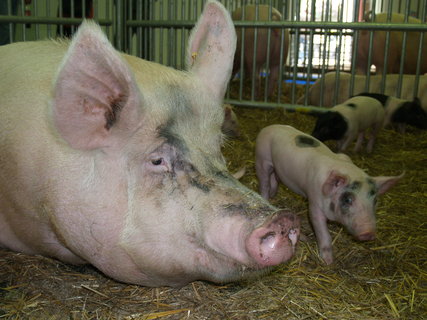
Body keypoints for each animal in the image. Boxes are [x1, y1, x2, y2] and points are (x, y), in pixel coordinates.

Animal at [256, 125, 402, 264]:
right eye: (348, 199)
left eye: (375, 200)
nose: (369, 233)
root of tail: (269, 127)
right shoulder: (314, 204)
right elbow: (323, 233)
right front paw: (328, 262)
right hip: (262, 159)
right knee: (264, 183)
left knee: (275, 177)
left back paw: (274, 193)